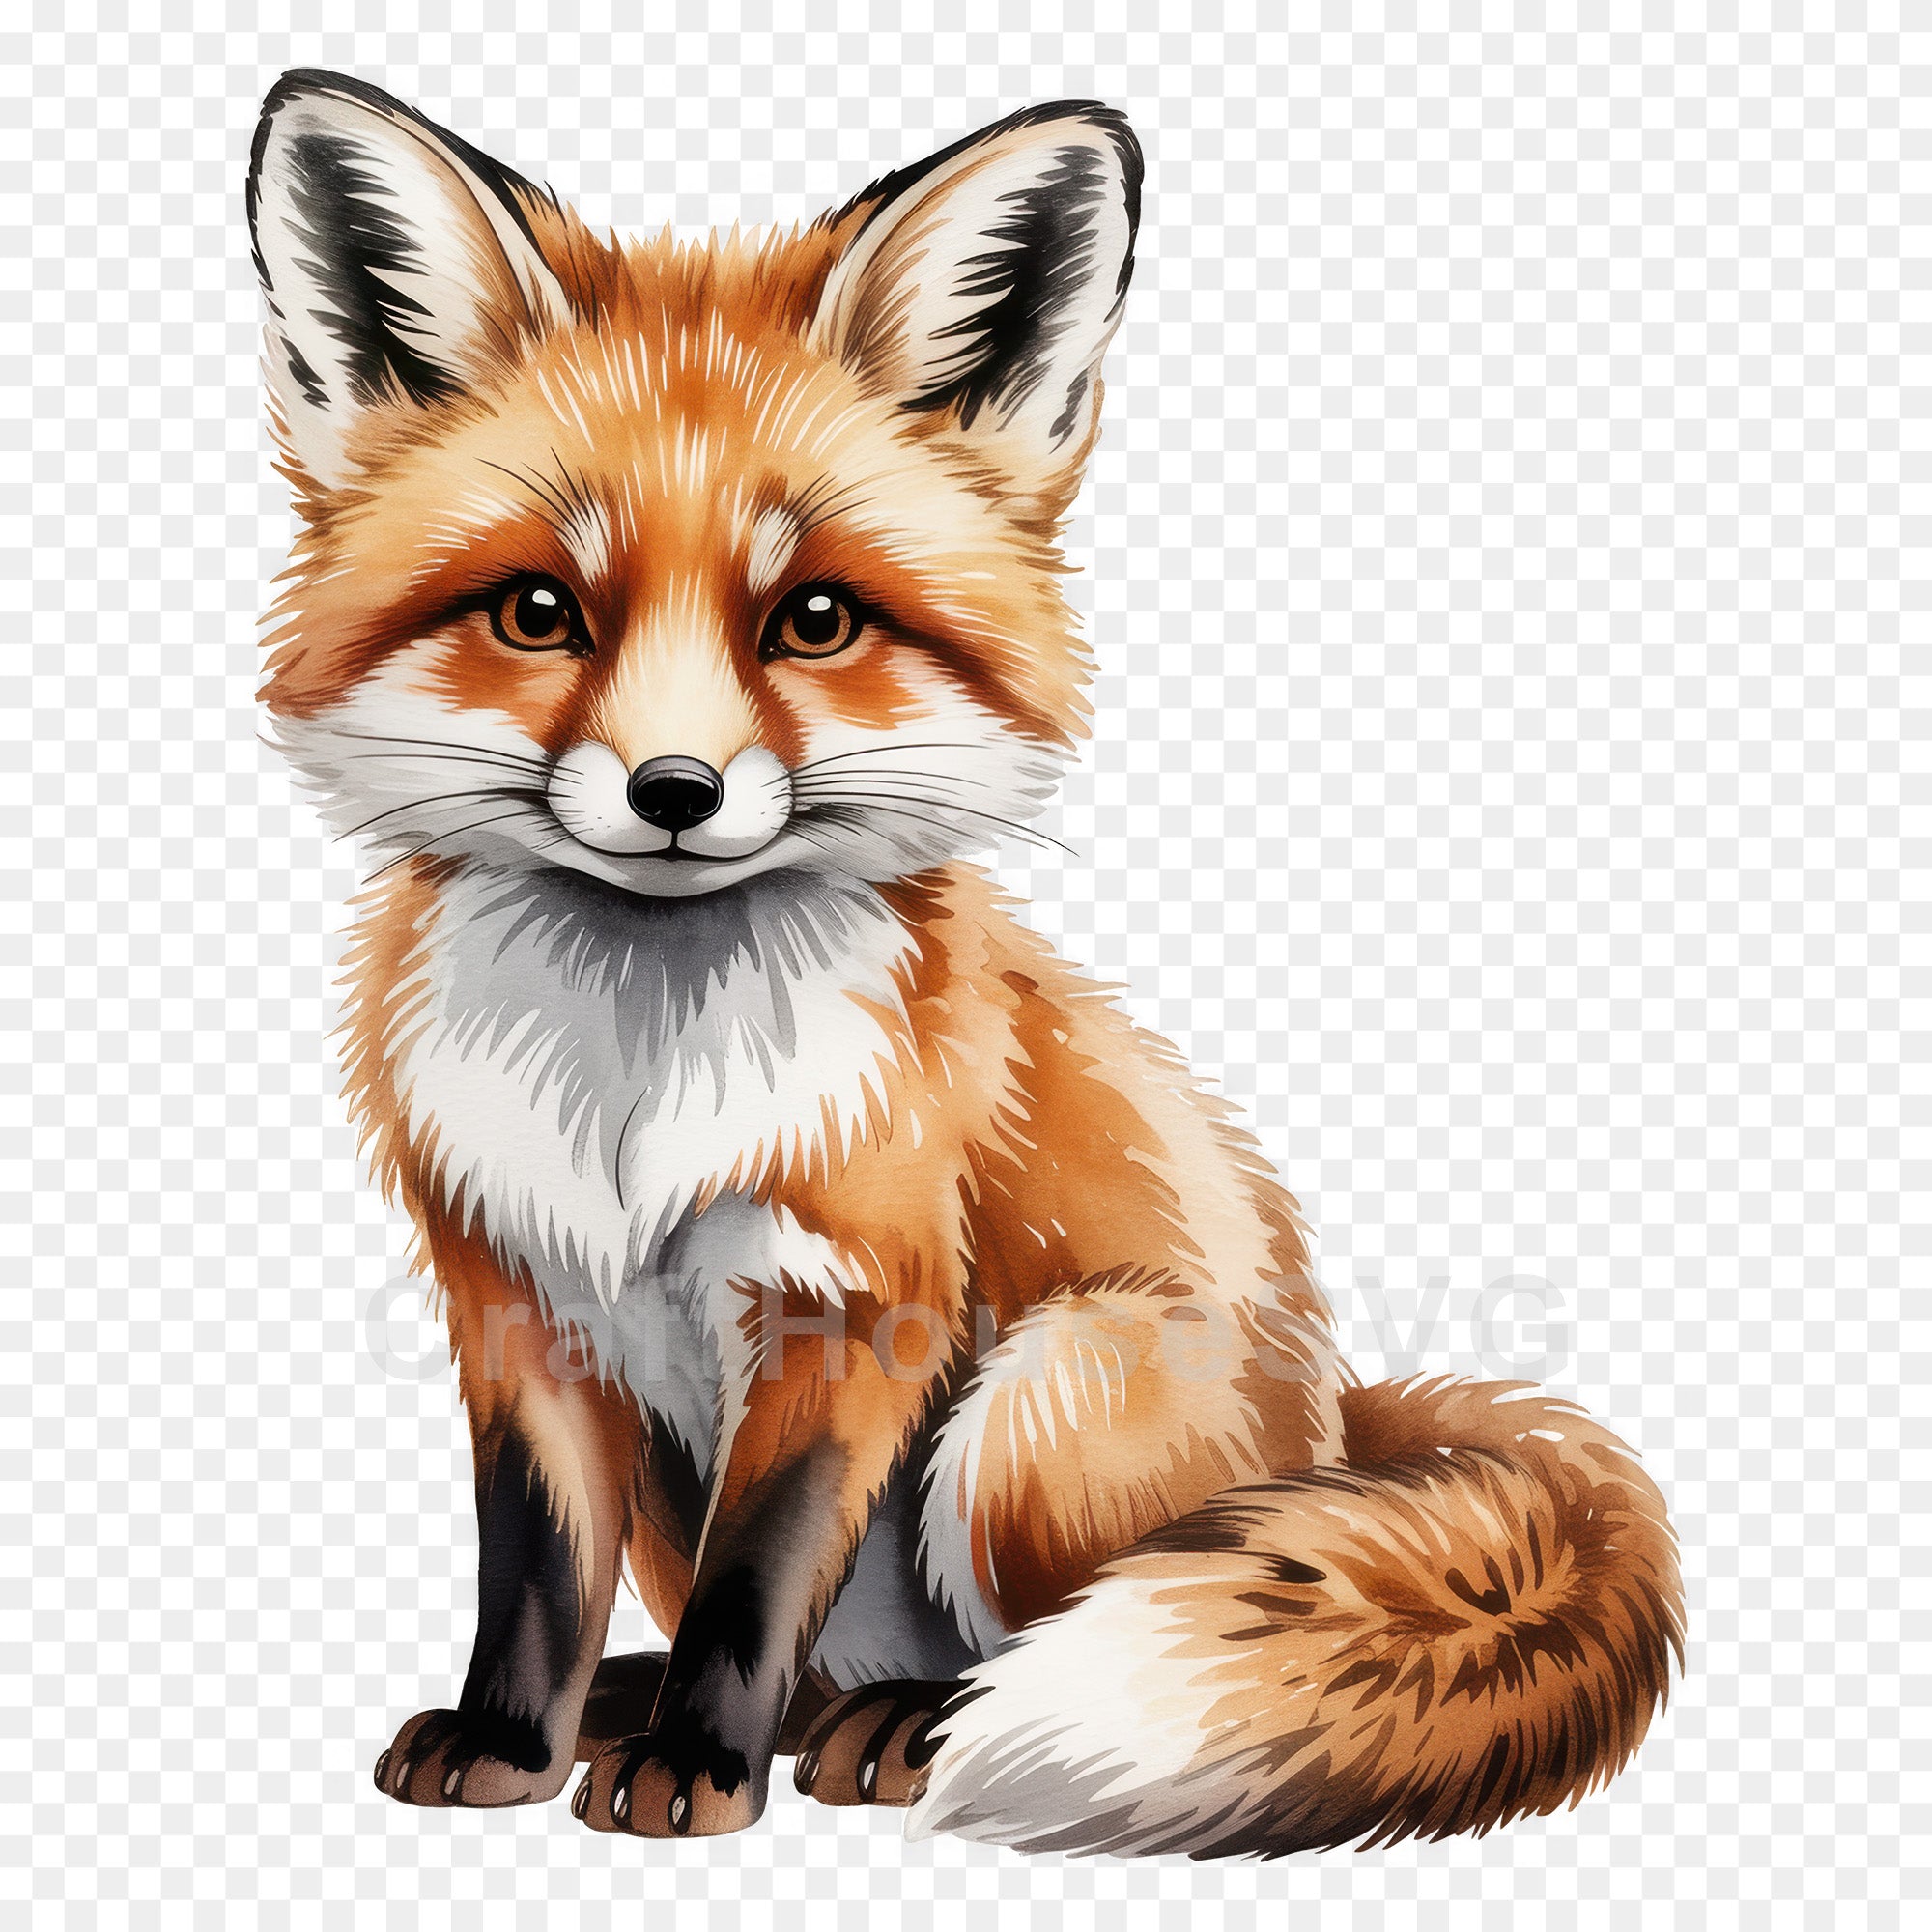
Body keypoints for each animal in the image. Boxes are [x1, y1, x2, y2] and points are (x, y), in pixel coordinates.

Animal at [250, 69, 1683, 1856]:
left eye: (813, 620)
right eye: (535, 611)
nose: (674, 793)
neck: (638, 1101)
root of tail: (1341, 1424)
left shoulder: (851, 1298)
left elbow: (757, 1579)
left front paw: (698, 1772)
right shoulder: (516, 1296)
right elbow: (533, 1571)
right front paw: (517, 1740)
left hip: (1041, 1400)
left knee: (1000, 1642)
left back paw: (903, 1729)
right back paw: (683, 1707)